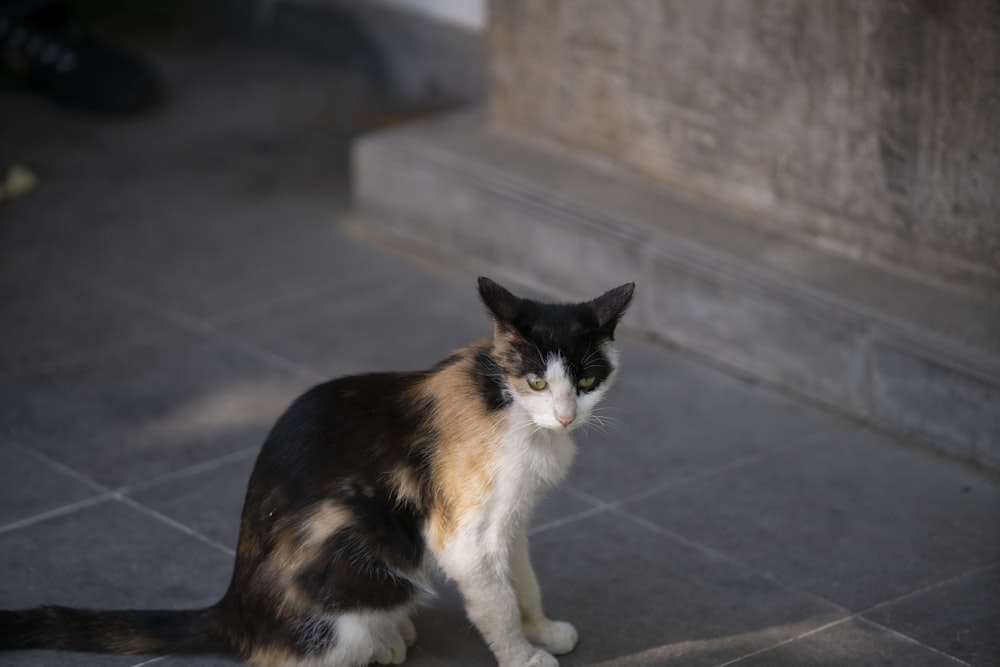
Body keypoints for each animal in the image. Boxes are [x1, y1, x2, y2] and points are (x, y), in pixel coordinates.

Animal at [0, 276, 636, 667]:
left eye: (586, 380)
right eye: (536, 381)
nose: (565, 414)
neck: (503, 405)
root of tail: (234, 612)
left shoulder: (511, 521)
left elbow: (523, 582)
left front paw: (543, 630)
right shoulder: (464, 536)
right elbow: (496, 603)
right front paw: (523, 655)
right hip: (351, 556)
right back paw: (378, 644)